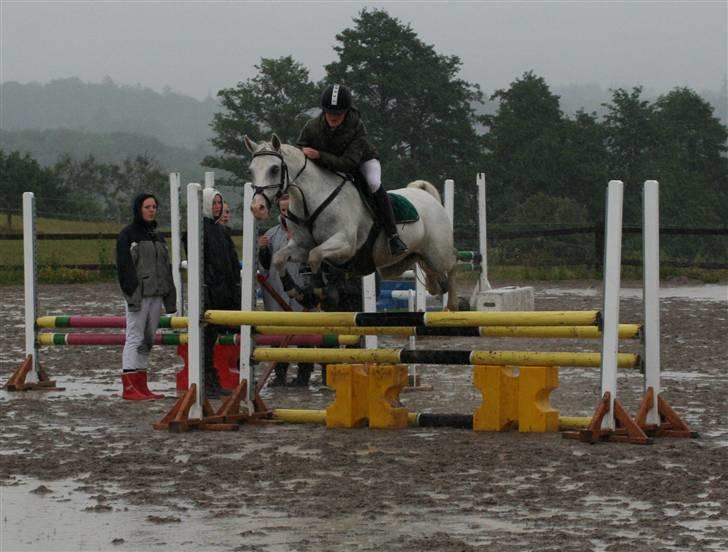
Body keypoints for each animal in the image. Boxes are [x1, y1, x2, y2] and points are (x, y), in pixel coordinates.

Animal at [247, 134, 458, 310]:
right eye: (251, 170)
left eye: (274, 169)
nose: (257, 208)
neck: (310, 202)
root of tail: (426, 195)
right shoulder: (301, 246)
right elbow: (279, 258)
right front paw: (296, 292)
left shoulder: (345, 246)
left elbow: (315, 255)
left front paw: (320, 291)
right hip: (398, 264)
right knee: (432, 277)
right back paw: (435, 286)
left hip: (437, 253)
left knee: (452, 264)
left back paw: (453, 305)